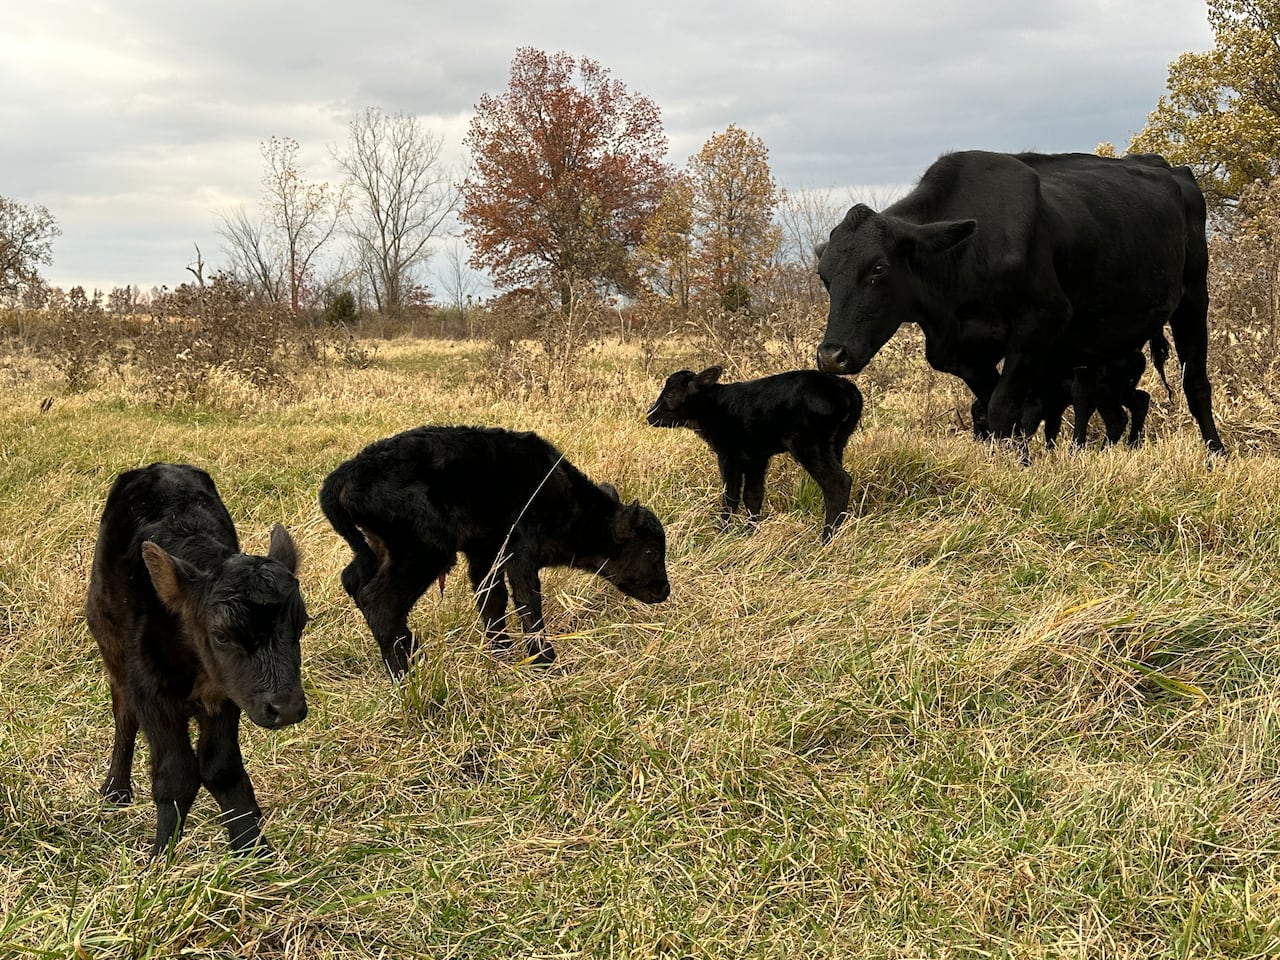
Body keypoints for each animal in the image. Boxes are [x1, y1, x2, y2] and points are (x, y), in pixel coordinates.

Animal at [85, 463, 308, 859]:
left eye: (302, 624)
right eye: (221, 635)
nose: (287, 708)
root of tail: (158, 467)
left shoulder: (227, 694)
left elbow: (222, 768)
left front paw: (252, 849)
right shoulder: (151, 694)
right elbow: (176, 774)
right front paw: (161, 856)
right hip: (111, 649)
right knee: (123, 716)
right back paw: (116, 789)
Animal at [319, 425, 671, 674]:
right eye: (651, 551)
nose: (664, 590)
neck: (566, 497)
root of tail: (345, 475)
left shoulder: (485, 553)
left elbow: (492, 600)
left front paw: (501, 652)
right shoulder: (521, 550)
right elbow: (528, 601)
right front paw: (544, 660)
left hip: (377, 550)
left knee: (353, 581)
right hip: (423, 553)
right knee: (379, 602)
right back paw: (408, 672)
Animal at [646, 366, 863, 542]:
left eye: (670, 394)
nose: (650, 416)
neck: (712, 408)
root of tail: (845, 389)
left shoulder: (728, 455)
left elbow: (731, 496)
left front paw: (722, 532)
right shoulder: (757, 457)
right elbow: (753, 495)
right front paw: (750, 532)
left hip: (809, 444)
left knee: (837, 482)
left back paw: (826, 538)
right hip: (836, 443)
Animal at [814, 150, 1225, 458]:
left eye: (878, 269)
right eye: (823, 276)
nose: (832, 355)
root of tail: (1170, 168)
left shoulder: (1040, 322)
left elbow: (1003, 409)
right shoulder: (964, 354)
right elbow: (997, 411)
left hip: (1193, 296)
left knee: (1195, 383)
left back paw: (1215, 453)